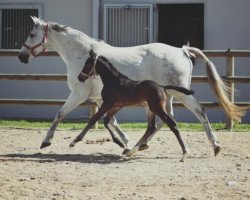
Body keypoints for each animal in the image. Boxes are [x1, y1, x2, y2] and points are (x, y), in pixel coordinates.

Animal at [18, 16, 245, 155]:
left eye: (31, 34)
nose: (21, 56)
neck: (81, 54)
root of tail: (182, 50)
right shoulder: (103, 99)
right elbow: (110, 121)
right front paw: (124, 143)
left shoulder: (79, 94)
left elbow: (60, 114)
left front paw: (46, 141)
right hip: (167, 96)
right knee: (164, 121)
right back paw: (140, 145)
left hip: (180, 94)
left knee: (199, 111)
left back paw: (215, 145)